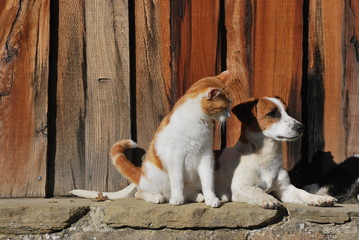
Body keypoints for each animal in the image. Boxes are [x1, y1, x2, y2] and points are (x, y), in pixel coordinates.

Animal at [70, 70, 233, 207]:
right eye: (224, 108)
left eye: (229, 107)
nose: (229, 116)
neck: (198, 121)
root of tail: (141, 174)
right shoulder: (175, 156)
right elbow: (177, 180)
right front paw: (176, 198)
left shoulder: (206, 155)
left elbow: (208, 181)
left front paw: (211, 198)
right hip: (154, 175)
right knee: (140, 194)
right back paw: (158, 197)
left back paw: (197, 196)